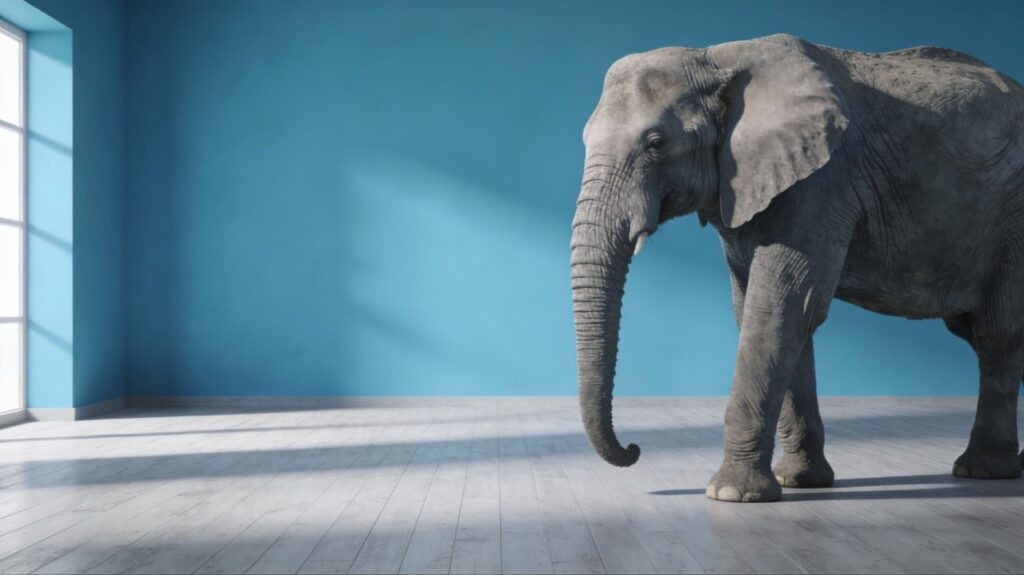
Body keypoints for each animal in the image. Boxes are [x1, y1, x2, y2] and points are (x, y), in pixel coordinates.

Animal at [570, 34, 1024, 502]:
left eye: (656, 143)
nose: (634, 449)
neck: (714, 59)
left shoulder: (823, 182)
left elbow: (781, 307)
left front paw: (731, 495)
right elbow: (766, 312)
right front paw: (799, 481)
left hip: (1011, 222)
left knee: (998, 335)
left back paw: (983, 471)